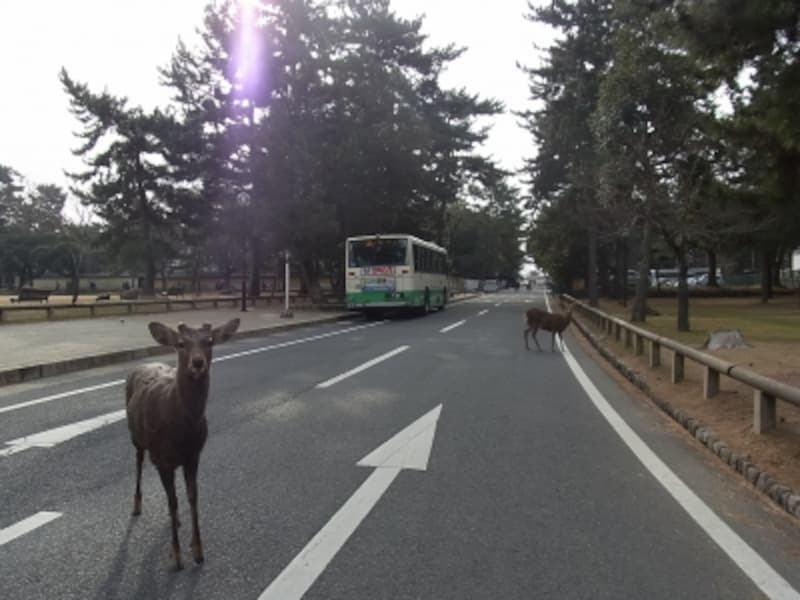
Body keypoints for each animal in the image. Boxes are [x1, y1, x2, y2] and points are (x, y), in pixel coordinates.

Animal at [125, 318, 240, 571]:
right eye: (180, 343)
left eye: (210, 341)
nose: (198, 363)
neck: (182, 431)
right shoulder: (161, 458)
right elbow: (172, 501)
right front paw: (176, 556)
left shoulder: (194, 455)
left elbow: (191, 497)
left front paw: (198, 551)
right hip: (137, 439)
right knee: (138, 464)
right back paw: (136, 506)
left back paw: (175, 521)